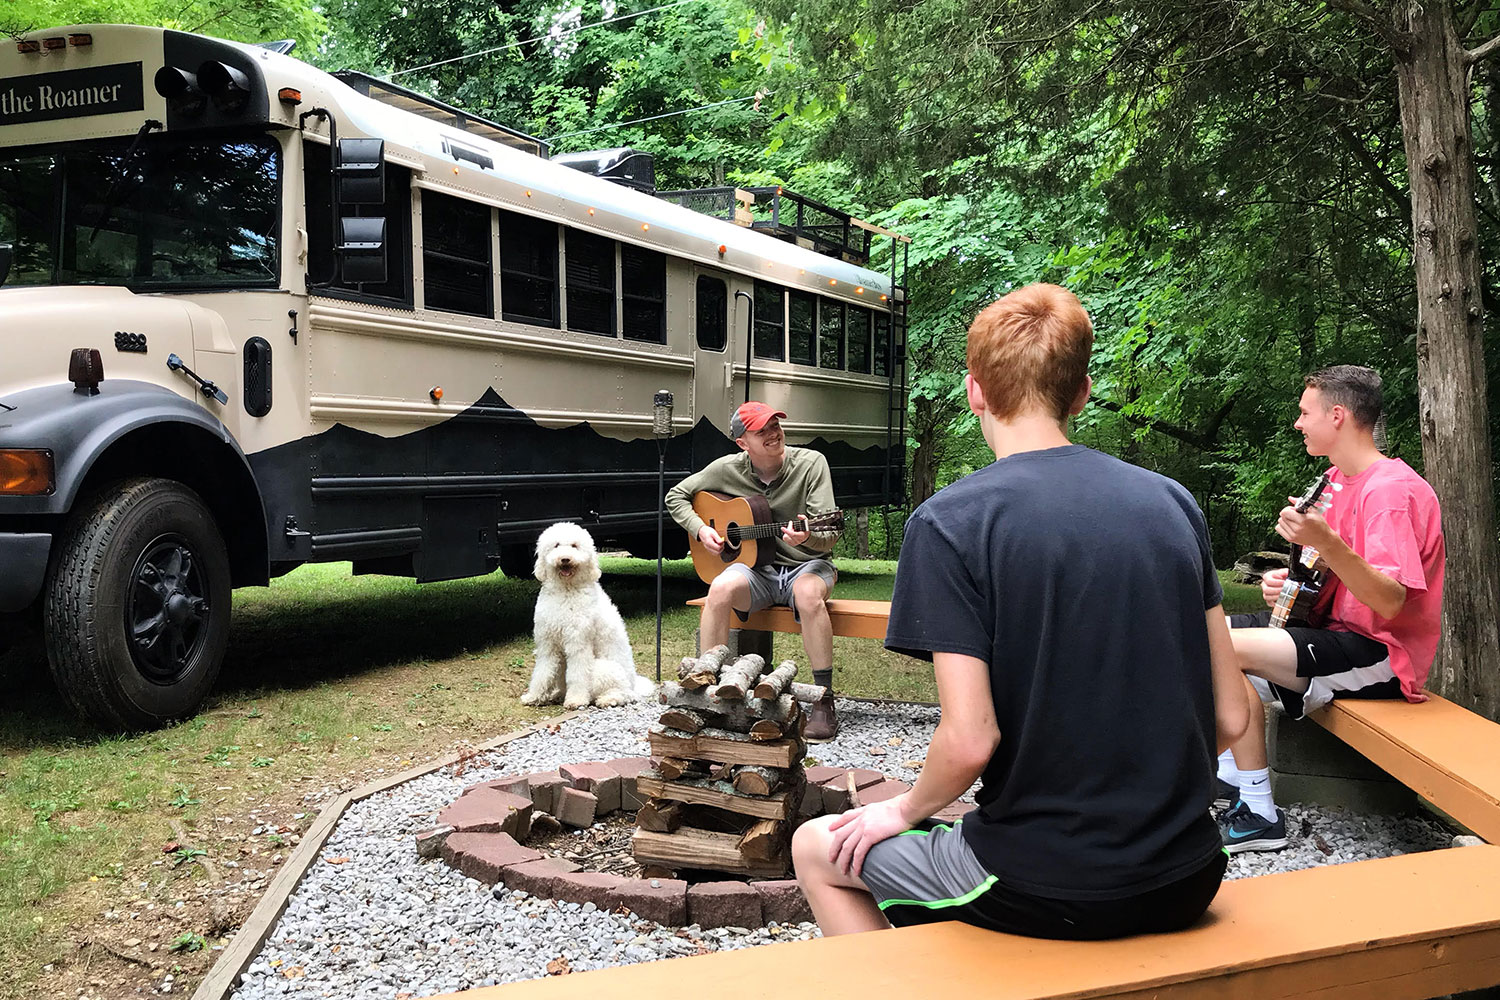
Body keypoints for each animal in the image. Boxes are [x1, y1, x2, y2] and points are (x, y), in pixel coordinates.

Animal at [522, 521, 651, 707]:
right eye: (556, 545)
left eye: (575, 546)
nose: (565, 559)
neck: (566, 591)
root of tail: (634, 684)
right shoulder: (548, 644)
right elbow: (542, 672)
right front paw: (534, 696)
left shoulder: (579, 644)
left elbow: (578, 675)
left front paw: (576, 699)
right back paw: (558, 694)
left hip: (604, 669)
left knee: (623, 694)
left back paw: (608, 699)